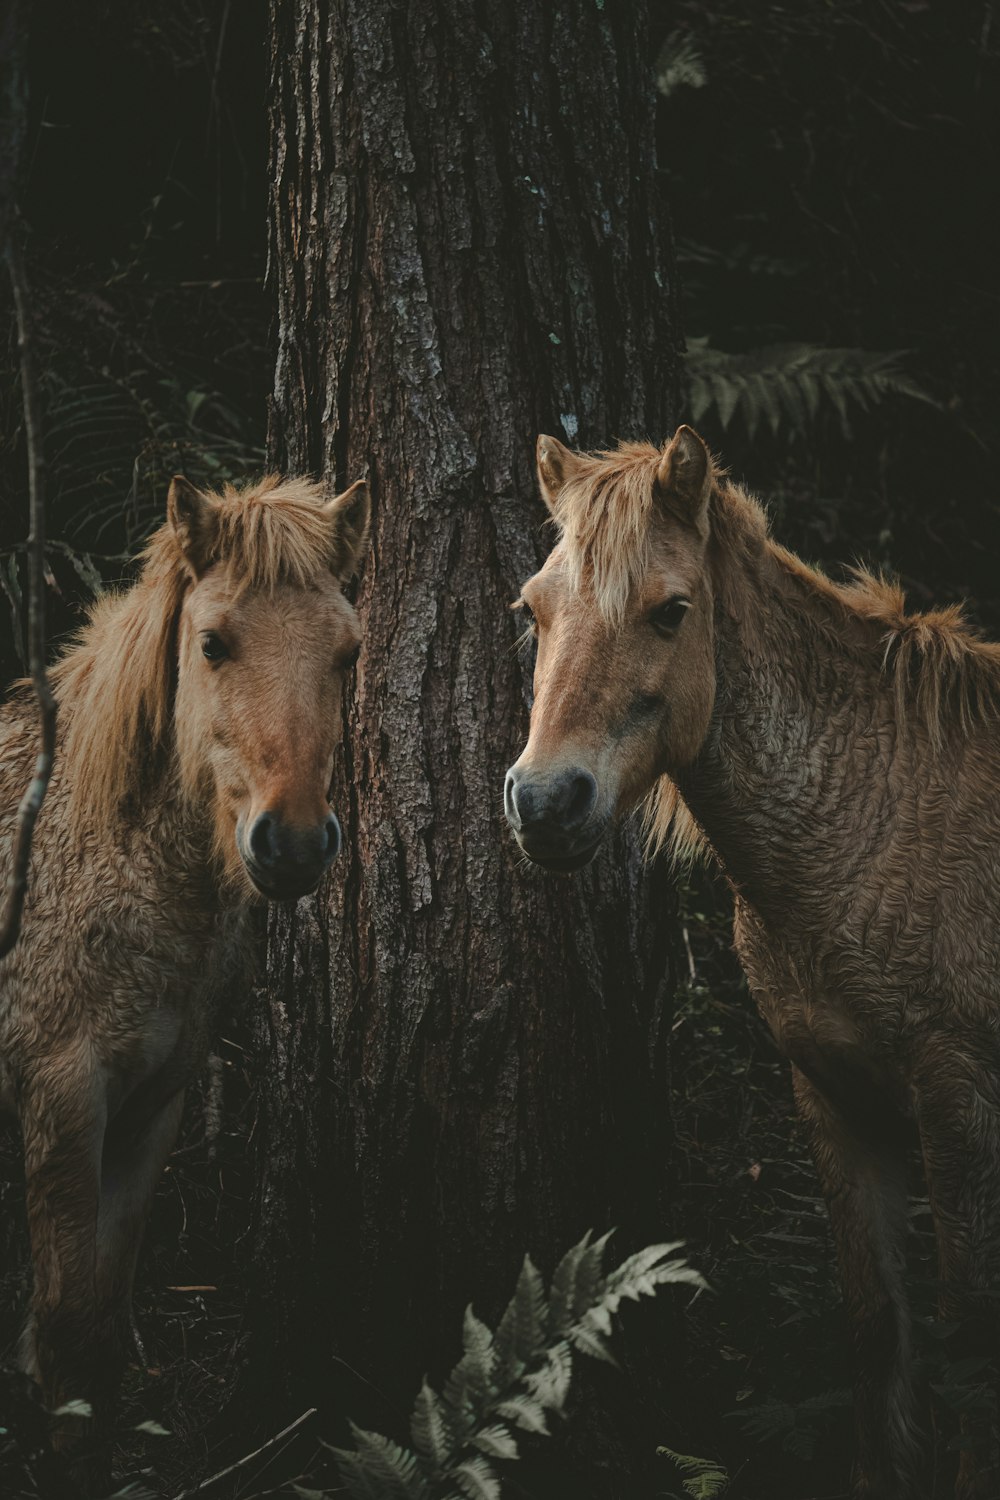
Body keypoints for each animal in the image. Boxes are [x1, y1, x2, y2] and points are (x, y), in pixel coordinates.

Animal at [0, 471, 371, 1452]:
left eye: (348, 654)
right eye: (213, 644)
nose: (292, 843)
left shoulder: (153, 1105)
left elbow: (96, 1322)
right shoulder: (63, 1101)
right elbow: (66, 1332)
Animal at [503, 423, 1000, 1500]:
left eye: (670, 610)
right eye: (532, 609)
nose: (545, 802)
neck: (875, 817)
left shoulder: (959, 1106)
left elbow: (967, 1336)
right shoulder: (832, 1091)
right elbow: (877, 1328)